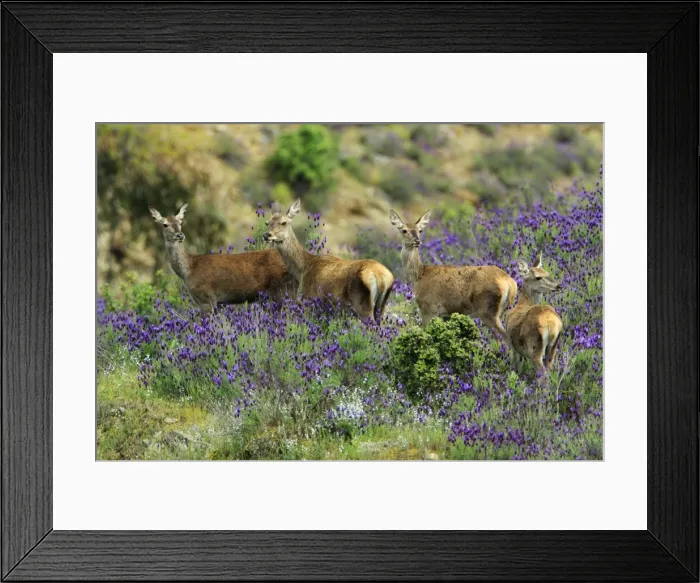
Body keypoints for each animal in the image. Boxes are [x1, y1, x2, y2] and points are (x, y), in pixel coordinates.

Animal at [149, 203, 295, 313]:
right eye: (165, 224)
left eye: (180, 222)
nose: (180, 235)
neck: (188, 270)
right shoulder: (215, 303)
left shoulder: (206, 299)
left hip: (280, 290)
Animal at [263, 199, 395, 323]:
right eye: (267, 222)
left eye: (284, 223)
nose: (267, 235)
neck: (303, 268)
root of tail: (383, 278)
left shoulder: (309, 299)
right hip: (381, 307)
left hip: (363, 305)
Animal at [389, 209, 517, 340]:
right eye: (404, 230)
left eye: (420, 230)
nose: (417, 241)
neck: (419, 275)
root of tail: (510, 283)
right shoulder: (445, 315)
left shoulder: (429, 308)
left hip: (486, 309)